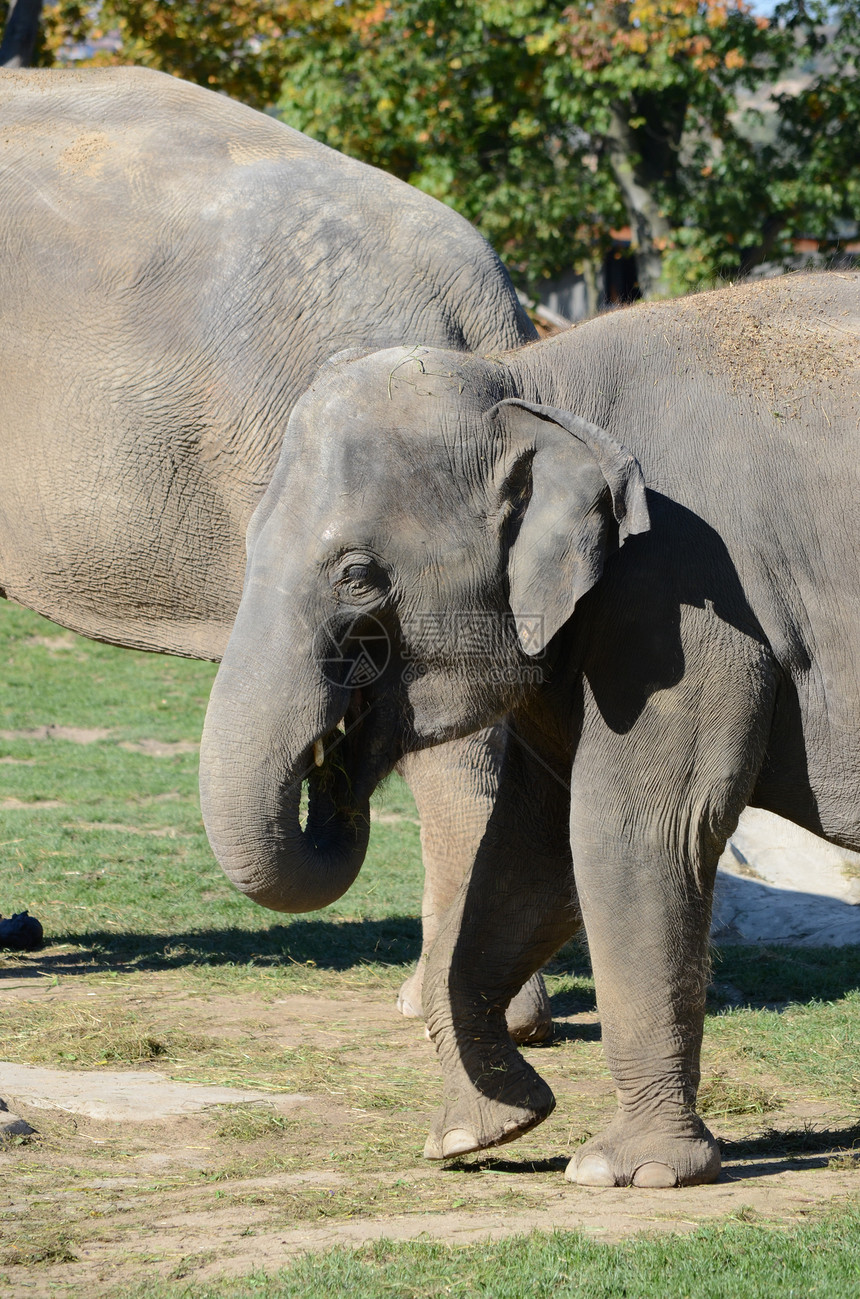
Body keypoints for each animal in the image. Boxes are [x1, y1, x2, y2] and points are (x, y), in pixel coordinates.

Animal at [200, 271, 860, 1189]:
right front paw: (476, 1134)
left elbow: (634, 830)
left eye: (359, 575)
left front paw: (626, 1172)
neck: (534, 383)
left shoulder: (682, 597)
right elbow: (530, 856)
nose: (333, 762)